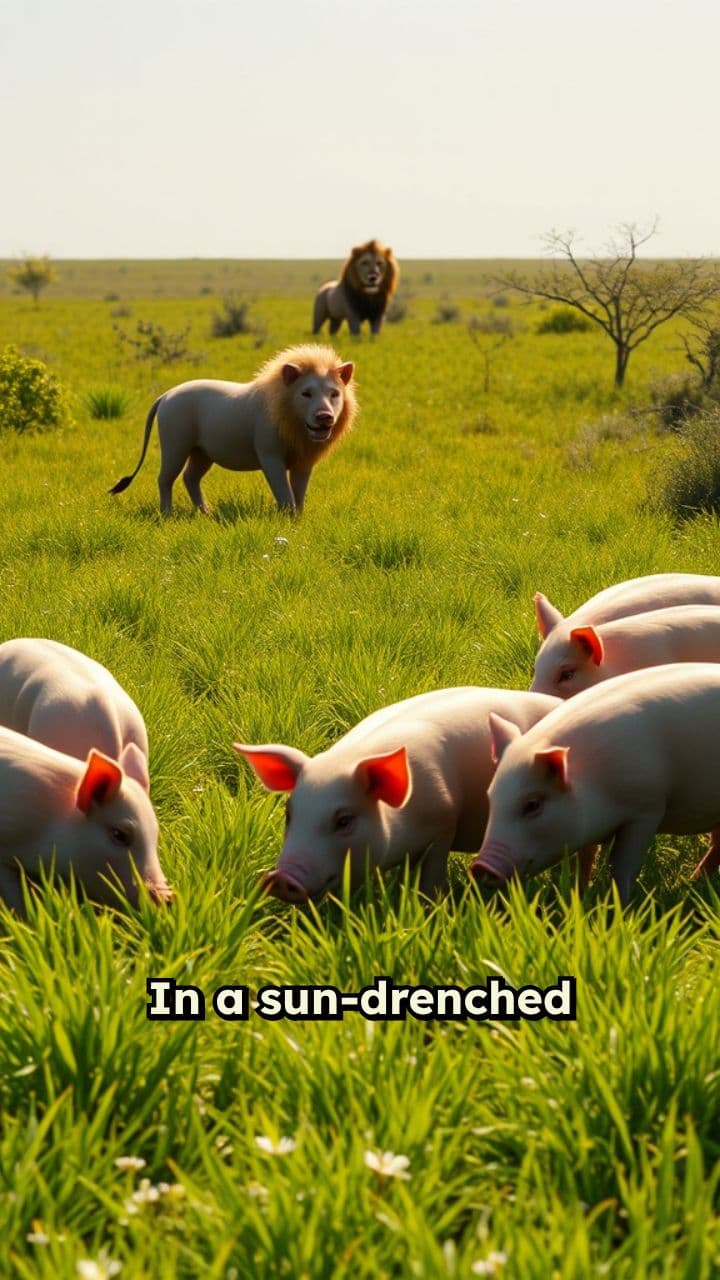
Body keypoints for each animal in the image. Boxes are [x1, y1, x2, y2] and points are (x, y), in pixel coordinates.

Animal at [109, 344, 357, 515]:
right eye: (306, 393)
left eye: (334, 394)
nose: (324, 417)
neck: (294, 422)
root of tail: (166, 395)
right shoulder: (270, 455)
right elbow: (285, 494)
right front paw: (288, 520)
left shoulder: (304, 461)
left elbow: (299, 495)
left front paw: (298, 521)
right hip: (175, 444)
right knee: (165, 478)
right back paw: (167, 515)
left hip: (202, 452)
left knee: (190, 478)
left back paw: (206, 513)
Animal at [235, 687, 560, 902]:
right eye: (289, 815)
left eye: (344, 821)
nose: (279, 878)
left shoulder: (444, 821)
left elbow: (430, 879)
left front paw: (428, 905)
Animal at [472, 663, 720, 904]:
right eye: (491, 797)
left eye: (532, 804)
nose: (480, 866)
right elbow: (585, 858)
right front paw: (580, 895)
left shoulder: (647, 810)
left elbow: (623, 866)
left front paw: (621, 905)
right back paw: (692, 881)